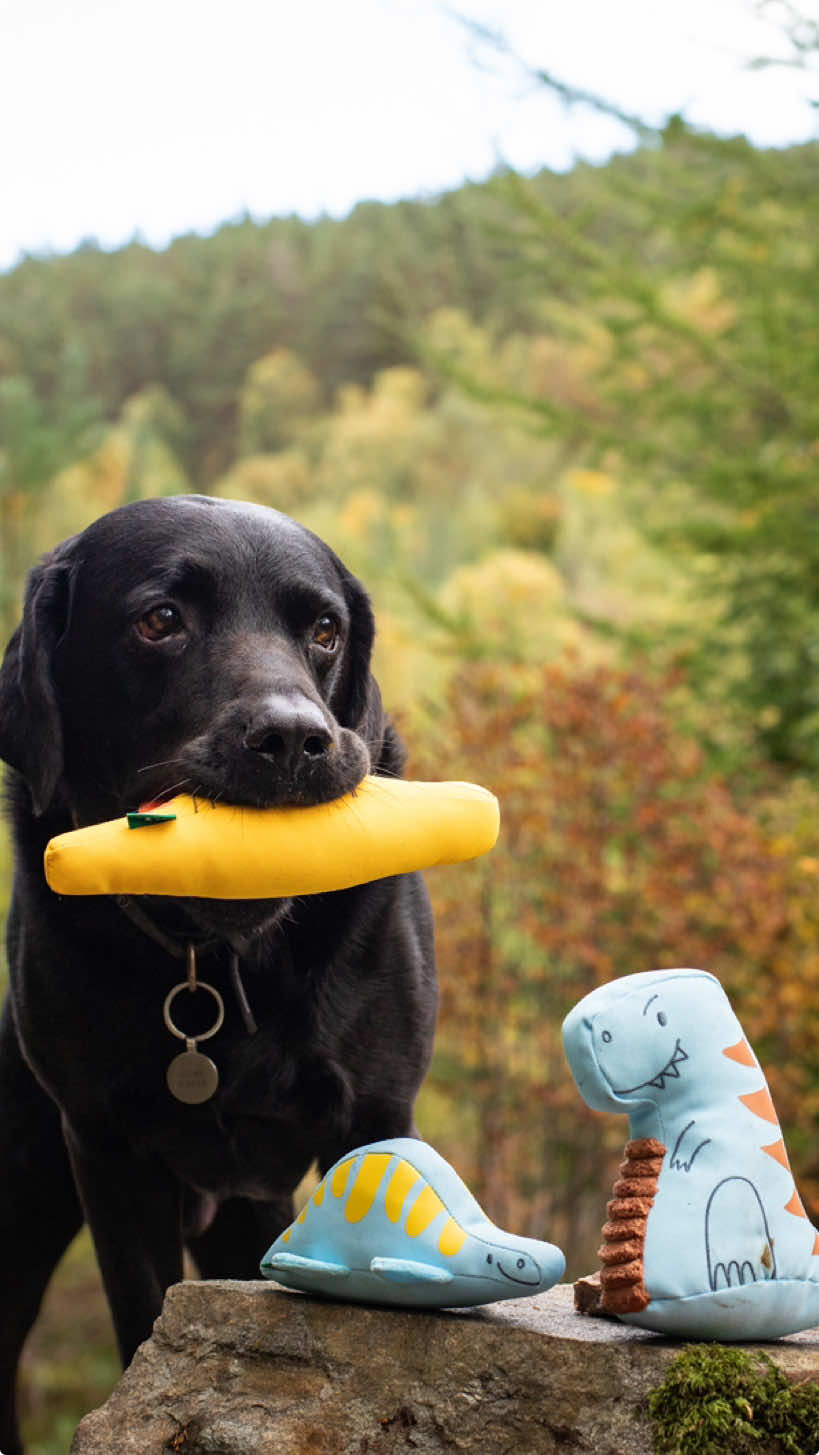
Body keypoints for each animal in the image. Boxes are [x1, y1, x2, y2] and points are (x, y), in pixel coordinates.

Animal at [0, 494, 439, 1449]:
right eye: (160, 619)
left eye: (324, 629)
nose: (295, 740)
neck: (222, 960)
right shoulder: (106, 1148)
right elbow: (143, 1319)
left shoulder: (374, 1112)